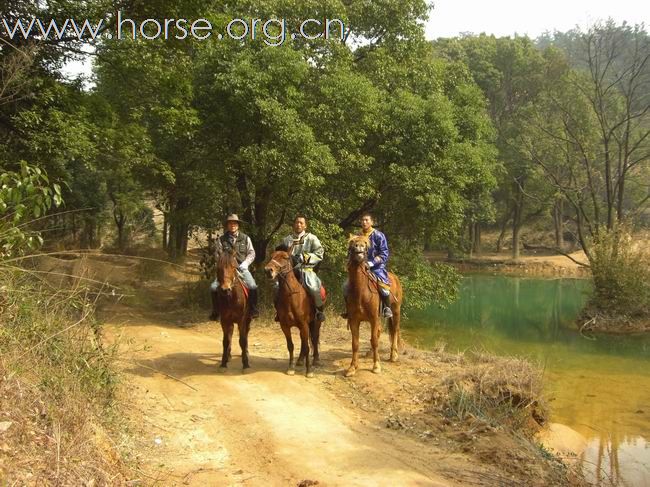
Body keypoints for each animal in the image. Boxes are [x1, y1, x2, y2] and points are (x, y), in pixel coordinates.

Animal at [264, 250, 318, 380]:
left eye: (285, 257)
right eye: (271, 256)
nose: (268, 270)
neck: (291, 296)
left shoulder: (304, 325)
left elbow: (308, 347)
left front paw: (309, 371)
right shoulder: (285, 326)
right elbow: (291, 346)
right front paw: (291, 368)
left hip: (315, 323)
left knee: (314, 339)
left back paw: (315, 362)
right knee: (304, 342)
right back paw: (299, 361)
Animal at [344, 234, 400, 380]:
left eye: (365, 244)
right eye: (352, 243)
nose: (358, 248)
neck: (360, 292)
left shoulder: (374, 319)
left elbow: (374, 340)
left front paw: (376, 366)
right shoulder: (354, 320)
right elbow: (355, 343)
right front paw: (352, 367)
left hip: (396, 311)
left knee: (395, 330)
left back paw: (394, 355)